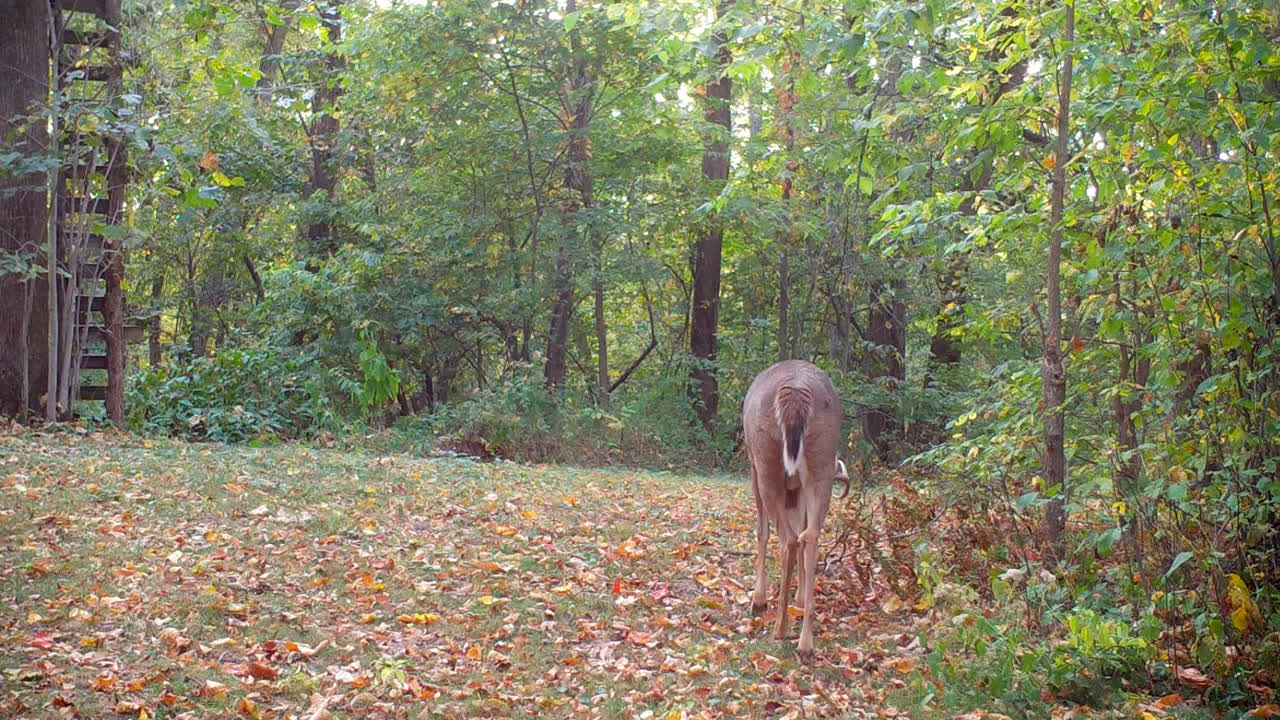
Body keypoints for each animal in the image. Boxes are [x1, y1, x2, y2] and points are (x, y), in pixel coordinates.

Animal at [743, 359, 849, 662]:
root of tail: (796, 390)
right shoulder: (799, 485)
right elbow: (802, 529)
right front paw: (801, 598)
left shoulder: (752, 466)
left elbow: (762, 531)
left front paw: (758, 599)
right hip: (822, 462)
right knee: (809, 535)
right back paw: (805, 642)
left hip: (766, 463)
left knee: (787, 538)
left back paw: (780, 628)